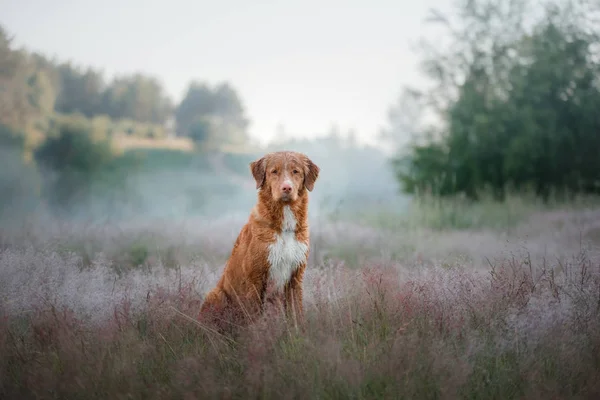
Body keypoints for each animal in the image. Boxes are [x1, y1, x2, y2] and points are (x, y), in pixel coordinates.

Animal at [198, 151, 322, 332]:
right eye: (274, 171)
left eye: (295, 171)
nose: (287, 188)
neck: (284, 226)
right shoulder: (255, 278)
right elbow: (255, 316)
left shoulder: (295, 277)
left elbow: (296, 313)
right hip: (216, 295)